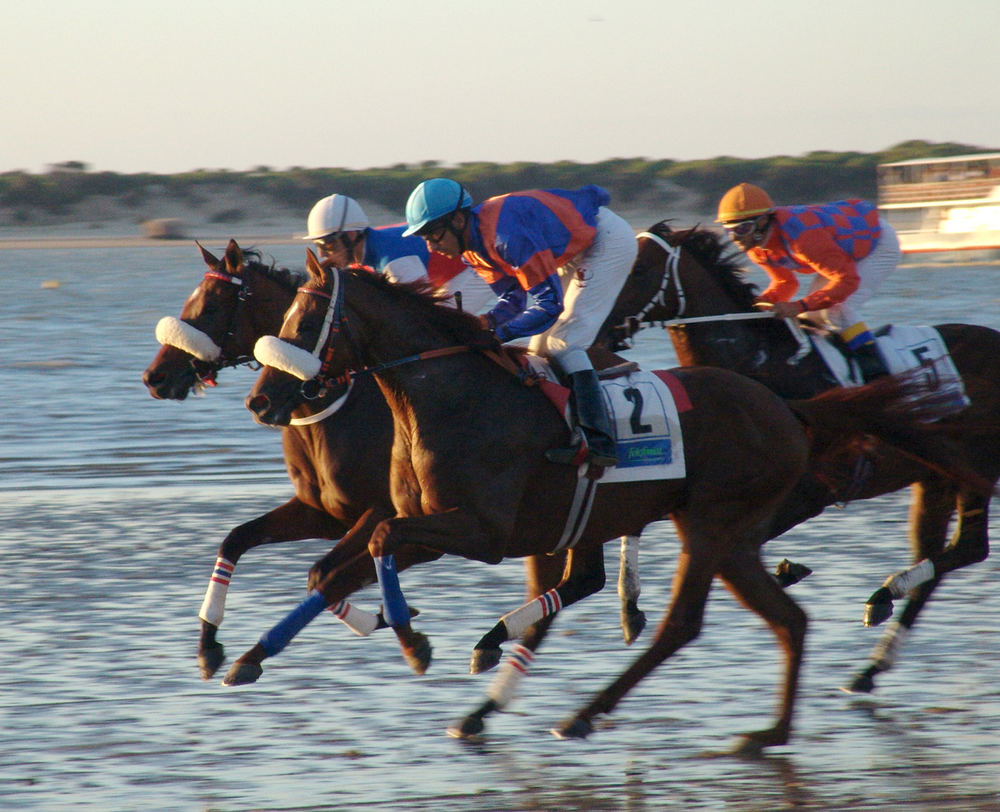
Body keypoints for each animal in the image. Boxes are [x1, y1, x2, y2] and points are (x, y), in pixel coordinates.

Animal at [229, 252, 976, 748]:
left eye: (305, 322)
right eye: (281, 316)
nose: (260, 399)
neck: (447, 398)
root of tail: (789, 409)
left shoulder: (479, 531)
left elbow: (374, 549)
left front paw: (412, 640)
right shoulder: (418, 519)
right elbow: (333, 568)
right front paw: (248, 656)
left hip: (712, 525)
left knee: (685, 625)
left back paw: (585, 712)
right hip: (728, 536)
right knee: (788, 620)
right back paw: (769, 730)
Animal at [592, 222, 1000, 692]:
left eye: (637, 269)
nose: (599, 330)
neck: (762, 370)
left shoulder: (804, 494)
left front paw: (788, 570)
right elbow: (635, 524)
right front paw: (629, 606)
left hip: (975, 467)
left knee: (970, 548)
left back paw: (884, 597)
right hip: (933, 477)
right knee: (938, 554)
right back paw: (870, 663)